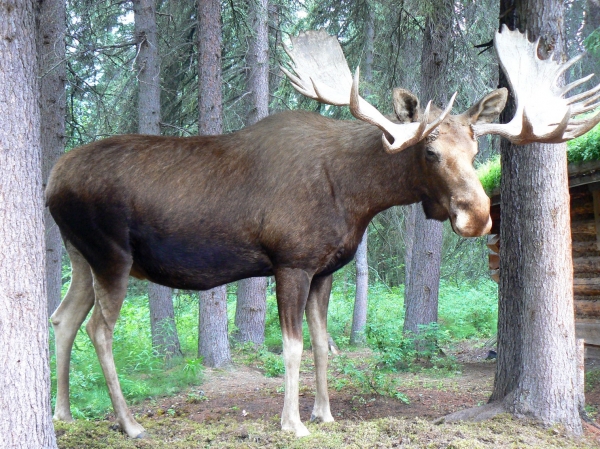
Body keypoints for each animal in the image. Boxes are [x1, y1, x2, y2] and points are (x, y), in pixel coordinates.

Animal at [48, 27, 600, 434]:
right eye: (429, 151)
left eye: (476, 150)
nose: (479, 214)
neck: (356, 198)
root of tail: (52, 181)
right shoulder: (290, 263)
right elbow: (291, 346)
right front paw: (292, 423)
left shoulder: (325, 270)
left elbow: (321, 343)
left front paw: (325, 413)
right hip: (111, 256)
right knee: (98, 329)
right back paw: (129, 423)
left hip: (80, 257)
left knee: (63, 319)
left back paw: (63, 412)